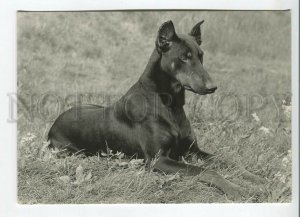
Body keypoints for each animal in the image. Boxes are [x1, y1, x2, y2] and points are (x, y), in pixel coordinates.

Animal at [48, 20, 264, 200]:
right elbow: (207, 171)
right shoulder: (158, 160)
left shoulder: (193, 150)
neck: (170, 104)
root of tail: (53, 125)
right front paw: (236, 189)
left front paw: (256, 178)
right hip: (72, 152)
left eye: (201, 56)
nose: (213, 87)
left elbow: (227, 160)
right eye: (184, 57)